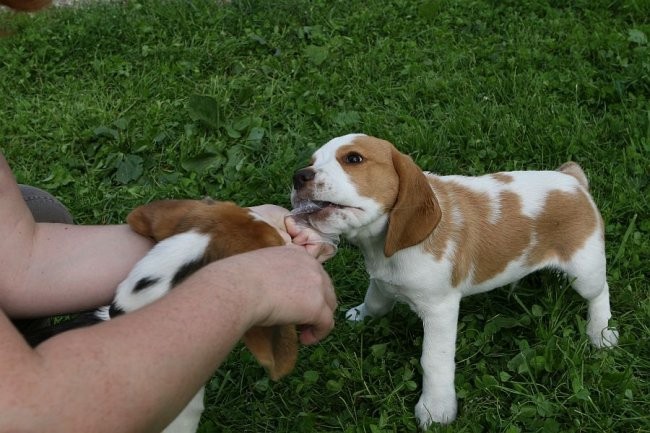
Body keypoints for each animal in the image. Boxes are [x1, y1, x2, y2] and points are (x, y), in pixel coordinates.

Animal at [290, 133, 616, 426]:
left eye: (353, 159)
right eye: (311, 161)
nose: (298, 176)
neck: (383, 244)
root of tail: (572, 181)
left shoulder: (440, 309)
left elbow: (434, 360)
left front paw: (436, 409)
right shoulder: (382, 283)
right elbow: (375, 302)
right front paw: (360, 315)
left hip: (584, 270)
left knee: (600, 293)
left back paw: (600, 333)